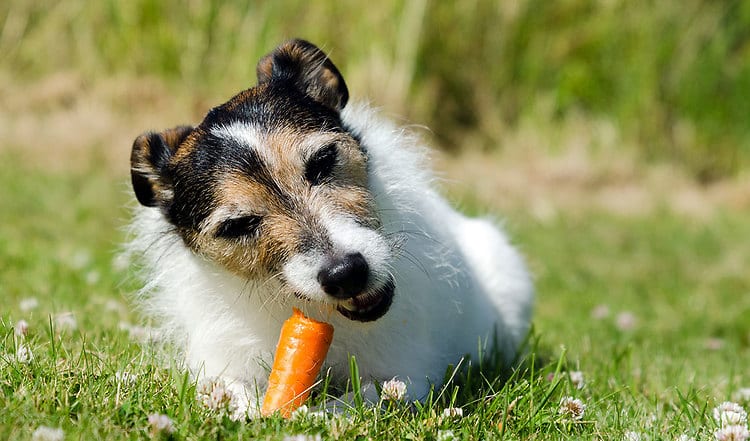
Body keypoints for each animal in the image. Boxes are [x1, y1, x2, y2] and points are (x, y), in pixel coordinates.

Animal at [129, 38, 536, 416]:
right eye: (238, 225)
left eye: (323, 160)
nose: (347, 273)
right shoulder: (220, 363)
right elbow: (226, 390)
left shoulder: (406, 374)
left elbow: (361, 400)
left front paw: (311, 416)